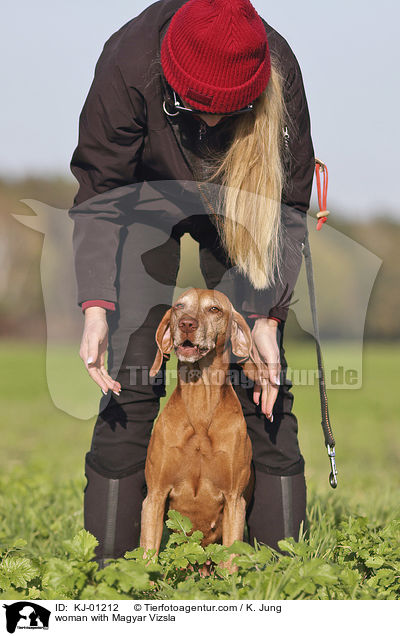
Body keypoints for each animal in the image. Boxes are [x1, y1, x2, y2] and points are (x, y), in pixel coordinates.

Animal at [139, 286, 255, 552]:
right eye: (179, 306)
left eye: (214, 309)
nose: (186, 324)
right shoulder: (154, 497)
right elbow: (147, 555)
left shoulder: (235, 500)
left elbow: (231, 557)